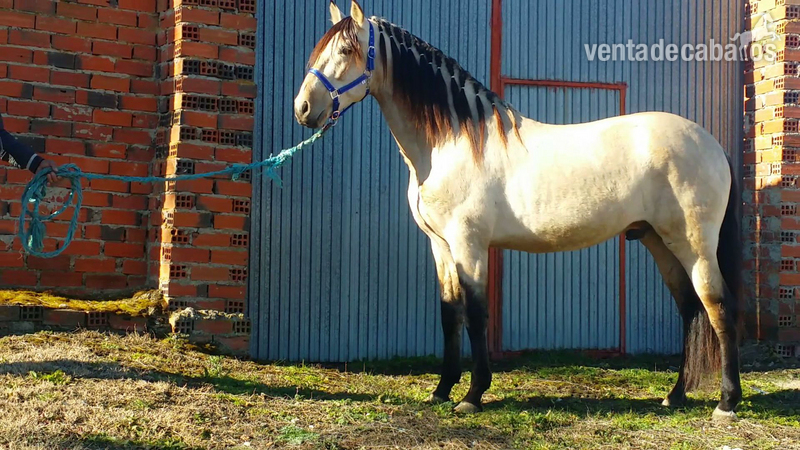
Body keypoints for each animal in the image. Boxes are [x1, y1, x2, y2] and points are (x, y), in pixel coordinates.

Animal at [293, 0, 743, 421]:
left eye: (346, 49)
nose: (302, 108)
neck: (452, 142)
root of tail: (711, 144)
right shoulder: (441, 247)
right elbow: (449, 314)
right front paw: (441, 391)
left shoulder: (469, 245)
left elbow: (476, 315)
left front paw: (473, 395)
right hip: (656, 240)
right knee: (688, 307)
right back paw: (674, 395)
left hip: (693, 242)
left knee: (716, 305)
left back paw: (726, 403)